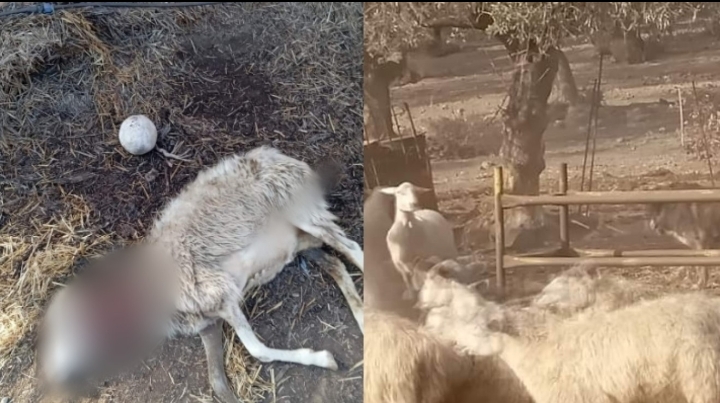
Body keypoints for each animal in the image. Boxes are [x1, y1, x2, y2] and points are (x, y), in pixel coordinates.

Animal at [37, 146, 365, 403]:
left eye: (69, 324)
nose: (52, 376)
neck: (154, 294)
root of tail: (274, 154)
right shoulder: (210, 321)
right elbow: (217, 382)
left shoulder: (221, 294)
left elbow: (257, 351)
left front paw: (323, 359)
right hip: (299, 242)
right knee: (336, 264)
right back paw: (363, 318)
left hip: (301, 209)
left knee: (354, 249)